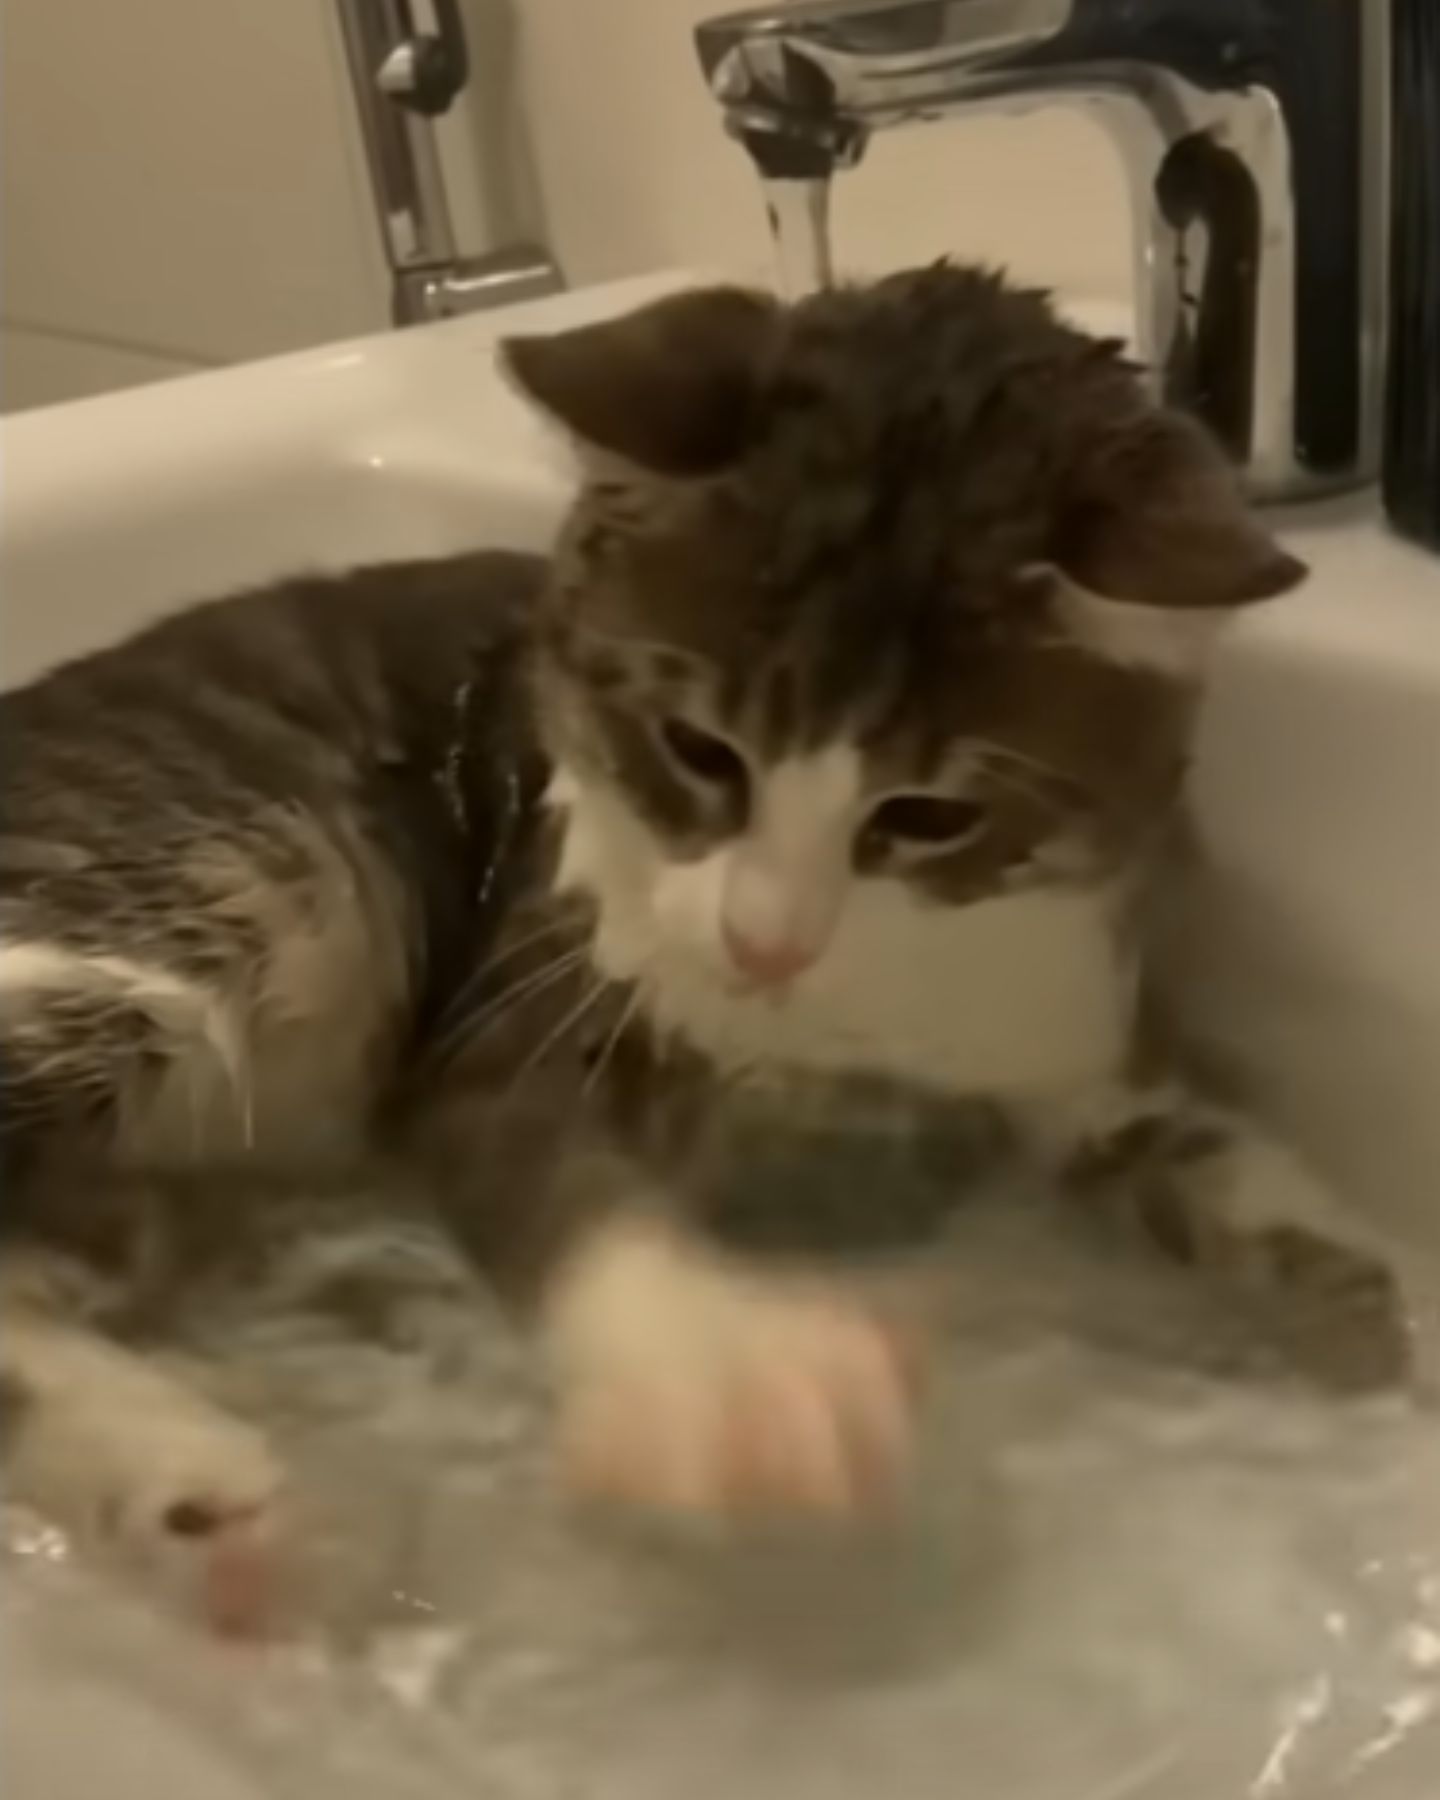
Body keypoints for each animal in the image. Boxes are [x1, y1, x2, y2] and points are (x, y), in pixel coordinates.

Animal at [0, 266, 1404, 1634]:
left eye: (929, 817)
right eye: (698, 751)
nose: (762, 942)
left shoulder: (1058, 993)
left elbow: (1182, 1137)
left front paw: (1358, 1292)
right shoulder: (526, 973)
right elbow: (545, 1158)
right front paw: (727, 1379)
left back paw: (191, 1504)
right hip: (218, 878)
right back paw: (188, 1470)